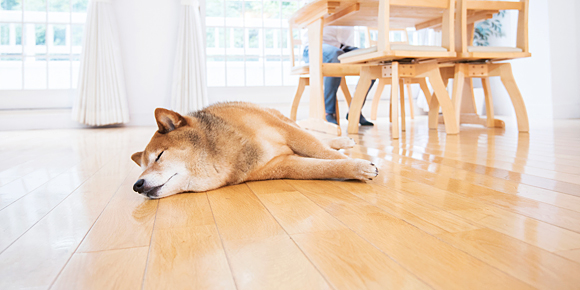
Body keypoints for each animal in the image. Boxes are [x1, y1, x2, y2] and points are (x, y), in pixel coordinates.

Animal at [129, 101, 378, 198]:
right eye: (141, 168)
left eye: (159, 156)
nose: (137, 185)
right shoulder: (283, 164)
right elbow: (323, 167)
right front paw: (355, 168)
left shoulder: (288, 132)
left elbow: (326, 153)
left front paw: (360, 165)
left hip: (287, 123)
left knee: (318, 138)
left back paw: (344, 141)